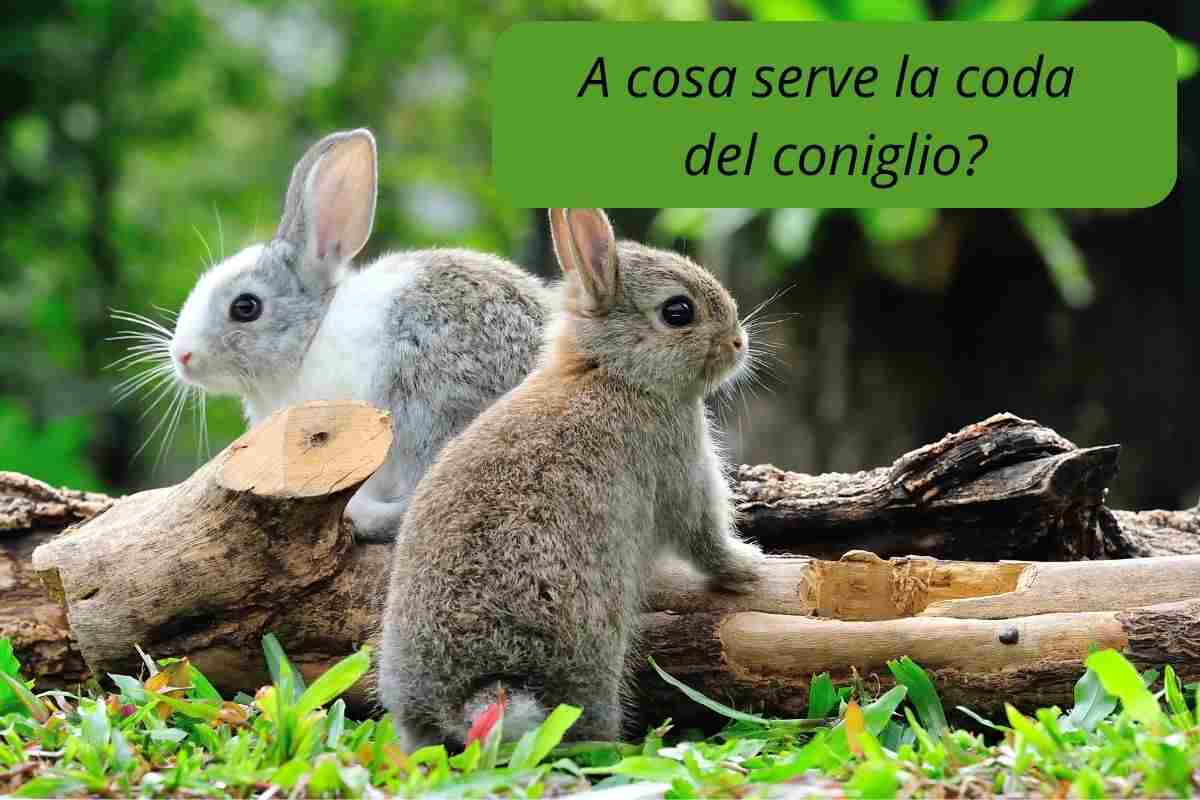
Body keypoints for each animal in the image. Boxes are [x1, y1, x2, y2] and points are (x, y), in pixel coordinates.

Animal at [378, 207, 767, 750]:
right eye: (678, 312)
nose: (738, 343)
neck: (609, 372)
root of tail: (473, 694)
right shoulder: (680, 464)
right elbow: (703, 537)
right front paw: (749, 567)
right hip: (590, 656)